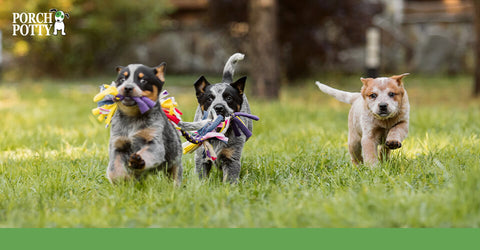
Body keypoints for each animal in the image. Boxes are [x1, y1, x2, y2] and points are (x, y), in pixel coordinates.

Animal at [192, 52, 253, 183]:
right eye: (209, 98)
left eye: (229, 98)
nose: (219, 107)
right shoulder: (201, 157)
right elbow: (201, 177)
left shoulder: (231, 158)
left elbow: (229, 179)